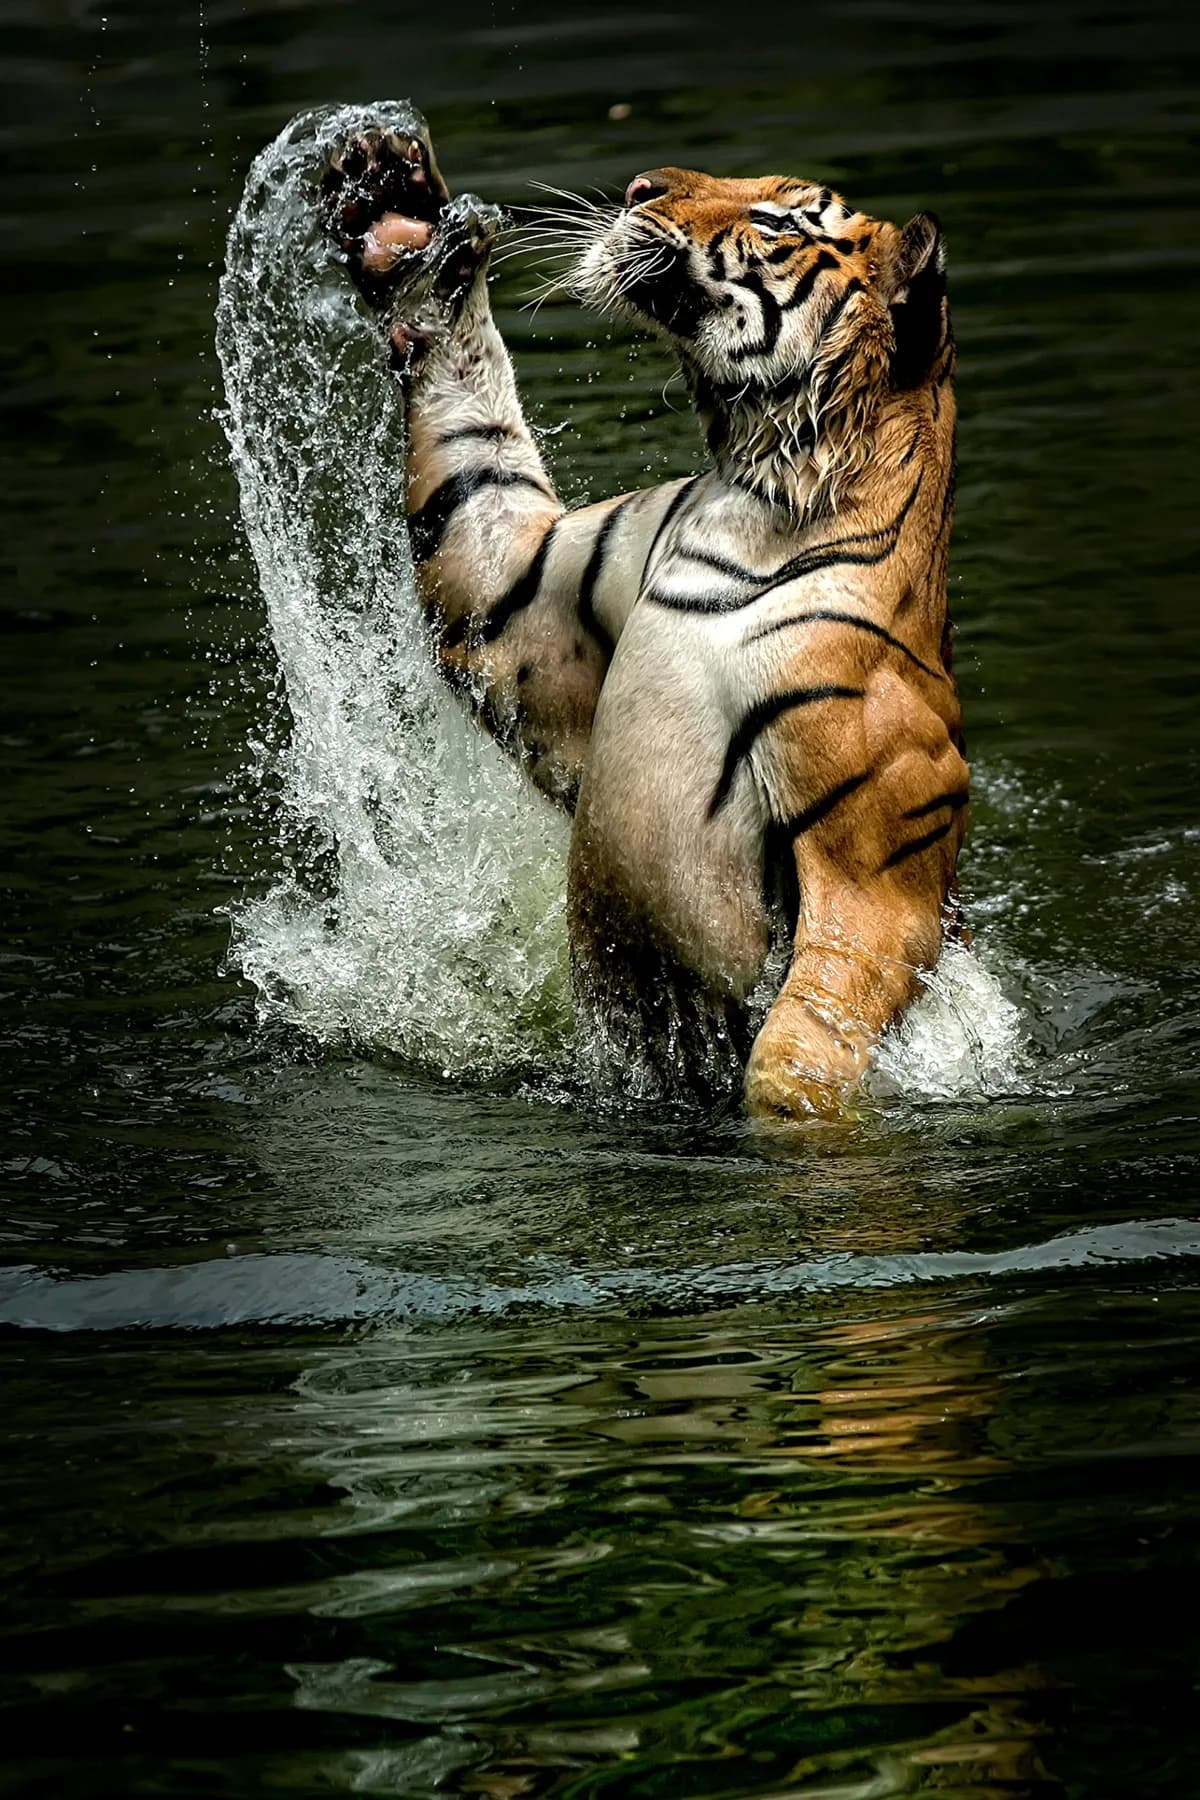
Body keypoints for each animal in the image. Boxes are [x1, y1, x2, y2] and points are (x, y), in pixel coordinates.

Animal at [318, 115, 967, 1118]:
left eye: (777, 218)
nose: (636, 186)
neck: (756, 488)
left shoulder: (873, 857)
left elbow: (805, 1038)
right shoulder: (526, 593)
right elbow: (478, 497)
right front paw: (396, 214)